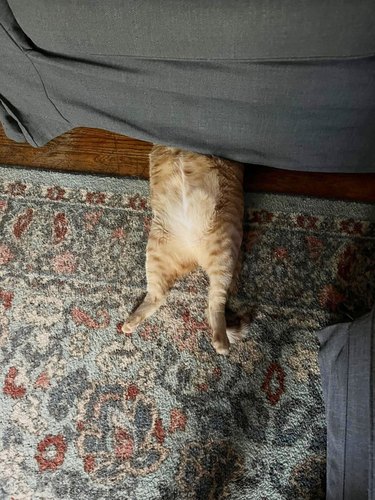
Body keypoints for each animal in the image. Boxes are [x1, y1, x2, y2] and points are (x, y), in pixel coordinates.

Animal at [123, 145, 245, 356]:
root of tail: (193, 251)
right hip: (157, 252)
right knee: (158, 296)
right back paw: (130, 323)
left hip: (223, 255)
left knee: (216, 302)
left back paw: (221, 343)